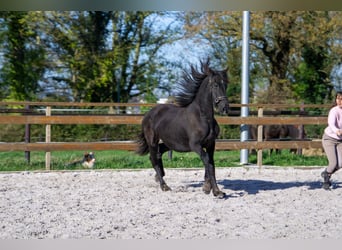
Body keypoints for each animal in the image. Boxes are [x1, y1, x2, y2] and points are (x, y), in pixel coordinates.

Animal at [136, 59, 230, 198]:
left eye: (226, 85)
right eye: (215, 85)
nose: (224, 108)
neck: (203, 117)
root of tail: (148, 114)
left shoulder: (210, 144)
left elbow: (211, 163)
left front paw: (207, 187)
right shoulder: (196, 145)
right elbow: (207, 162)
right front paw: (216, 191)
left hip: (170, 143)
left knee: (159, 153)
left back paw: (159, 177)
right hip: (152, 142)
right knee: (153, 159)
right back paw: (164, 185)